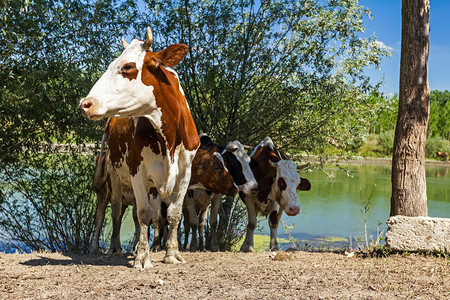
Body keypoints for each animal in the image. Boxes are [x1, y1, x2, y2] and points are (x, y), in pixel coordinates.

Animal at [79, 27, 199, 268]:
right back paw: (115, 247)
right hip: (115, 176)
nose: (85, 104)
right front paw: (143, 257)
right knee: (116, 211)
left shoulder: (185, 172)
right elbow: (144, 214)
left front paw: (171, 253)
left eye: (127, 67)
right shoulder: (137, 169)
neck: (169, 137)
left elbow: (173, 214)